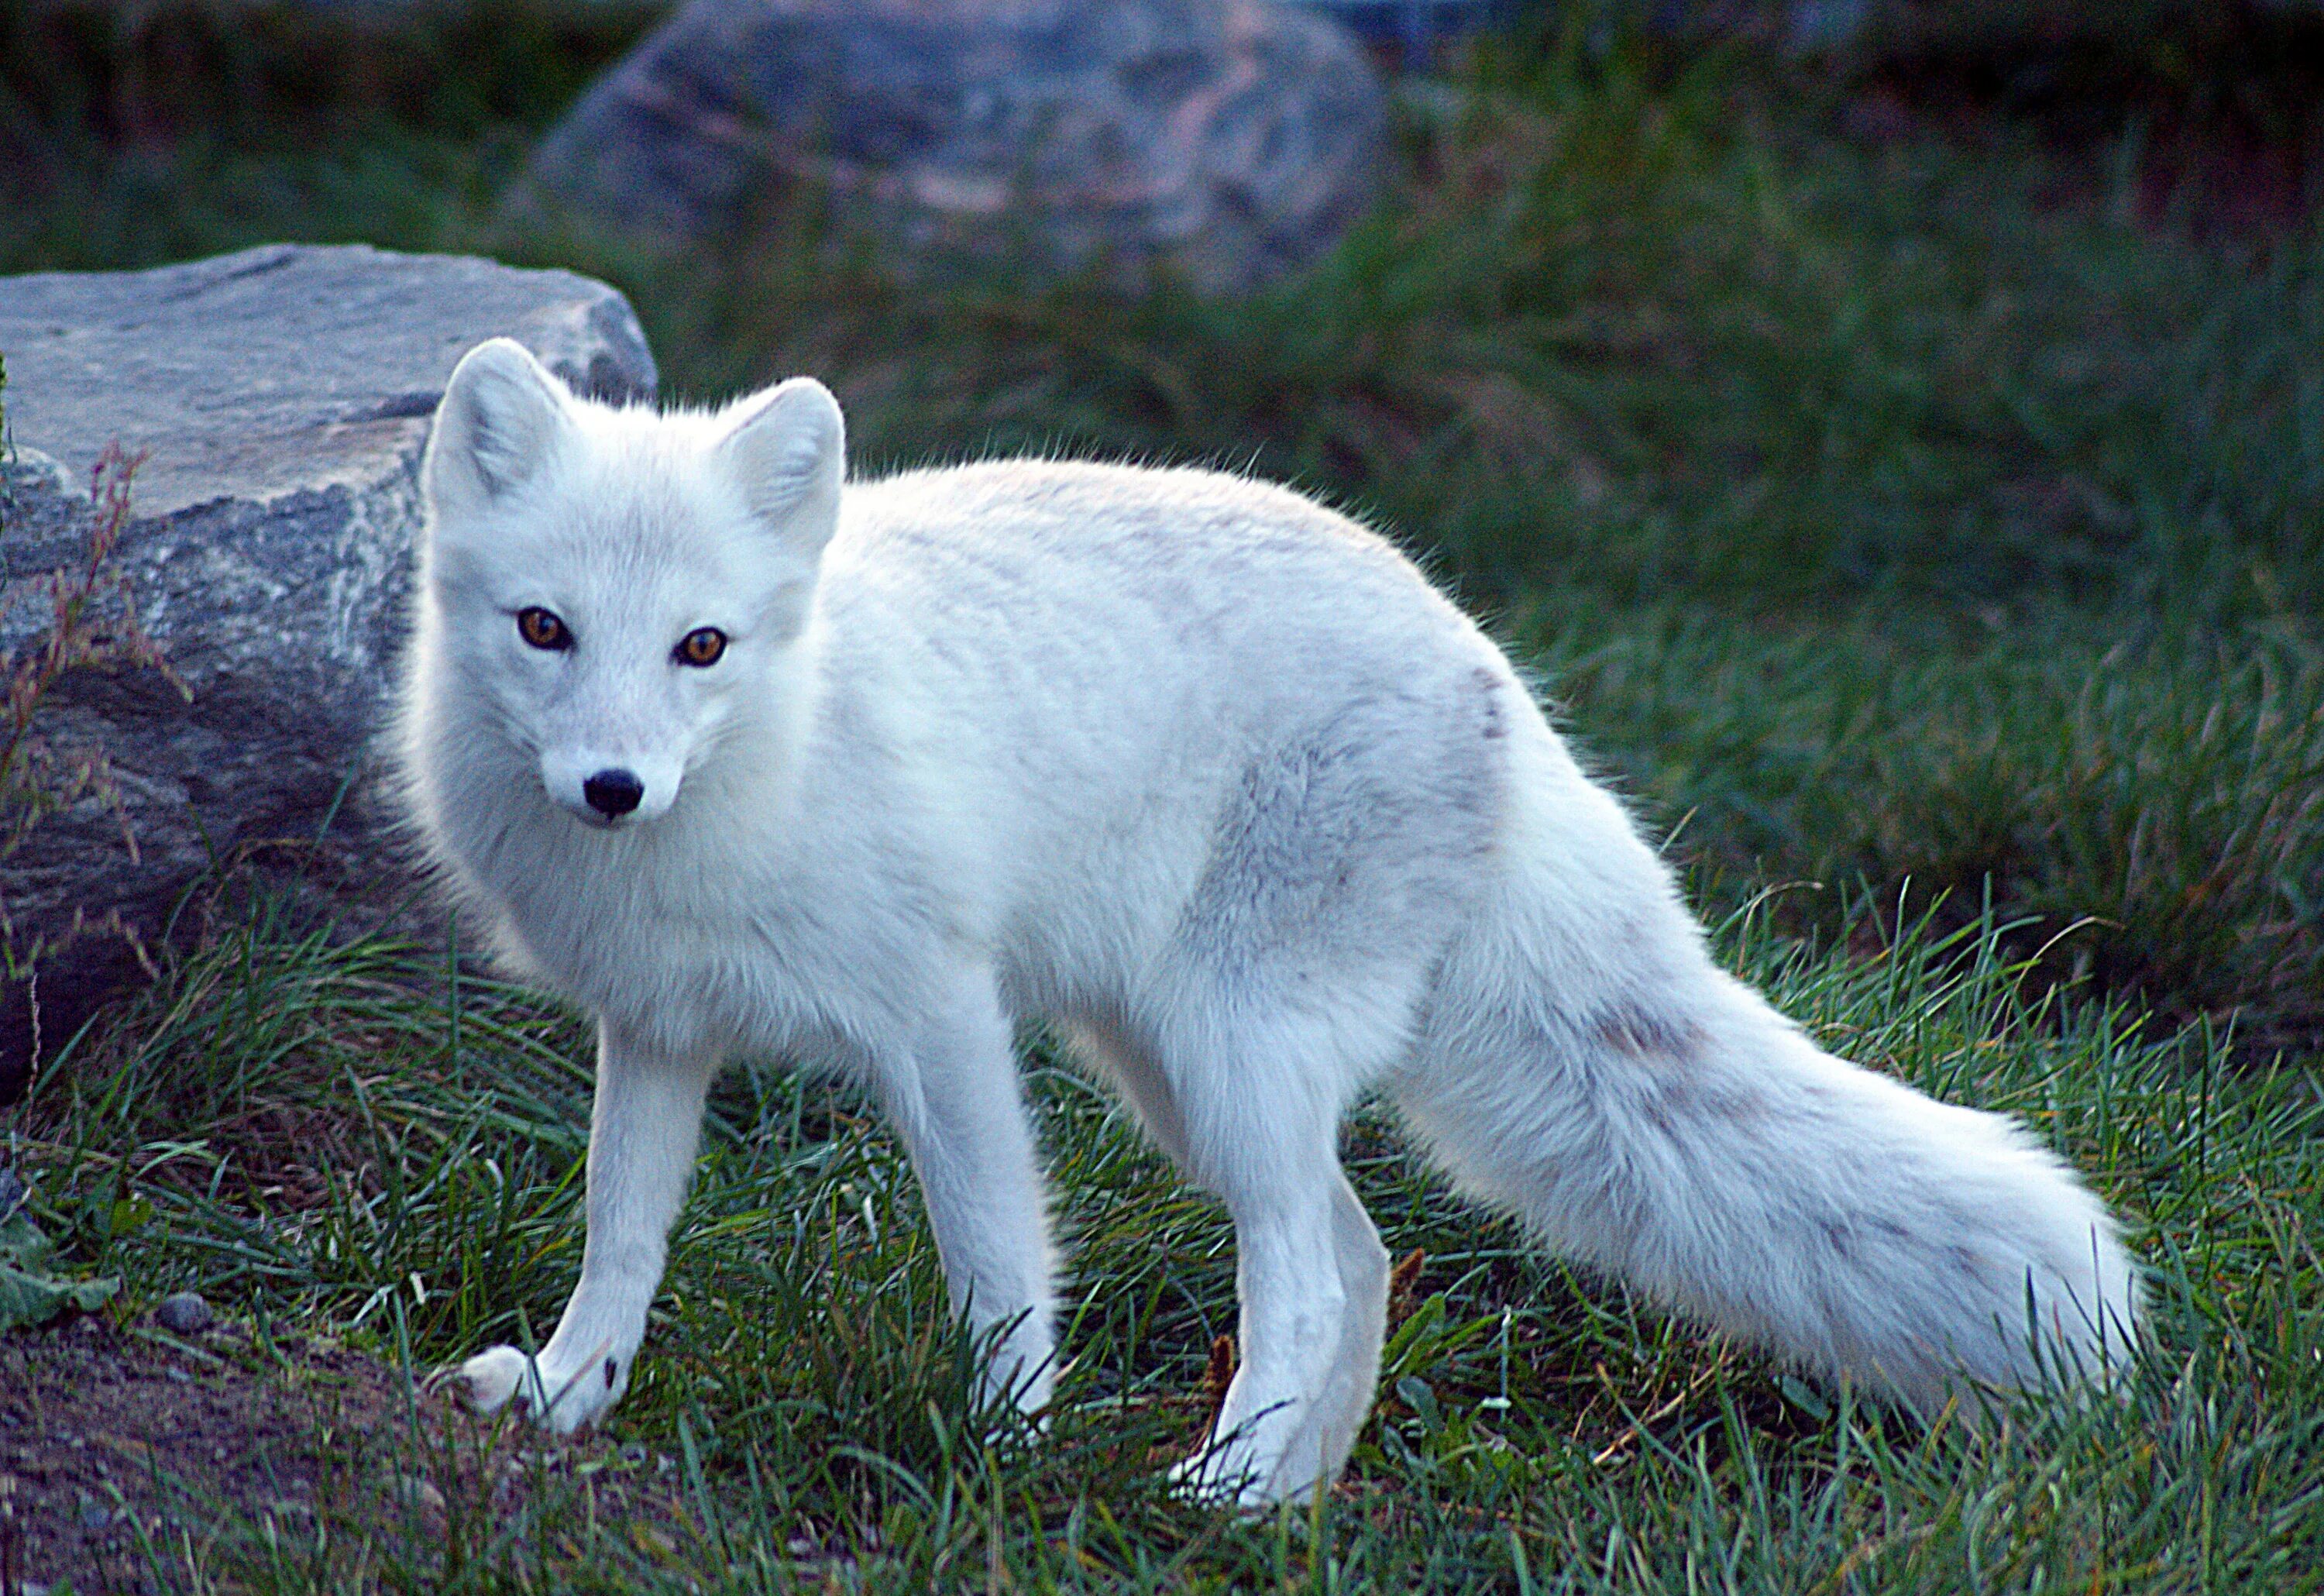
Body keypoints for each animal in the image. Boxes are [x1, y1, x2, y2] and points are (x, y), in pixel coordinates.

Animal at [400, 336, 2138, 1515]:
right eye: (545, 628)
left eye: (702, 645)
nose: (612, 786)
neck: (781, 744)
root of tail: (1489, 666)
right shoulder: (658, 1025)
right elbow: (621, 1234)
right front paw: (567, 1395)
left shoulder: (943, 1018)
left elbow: (997, 1265)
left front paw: (1000, 1453)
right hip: (1170, 1065)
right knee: (1361, 1265)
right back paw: (1281, 1503)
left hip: (1230, 1049)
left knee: (1305, 1276)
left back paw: (1215, 1493)